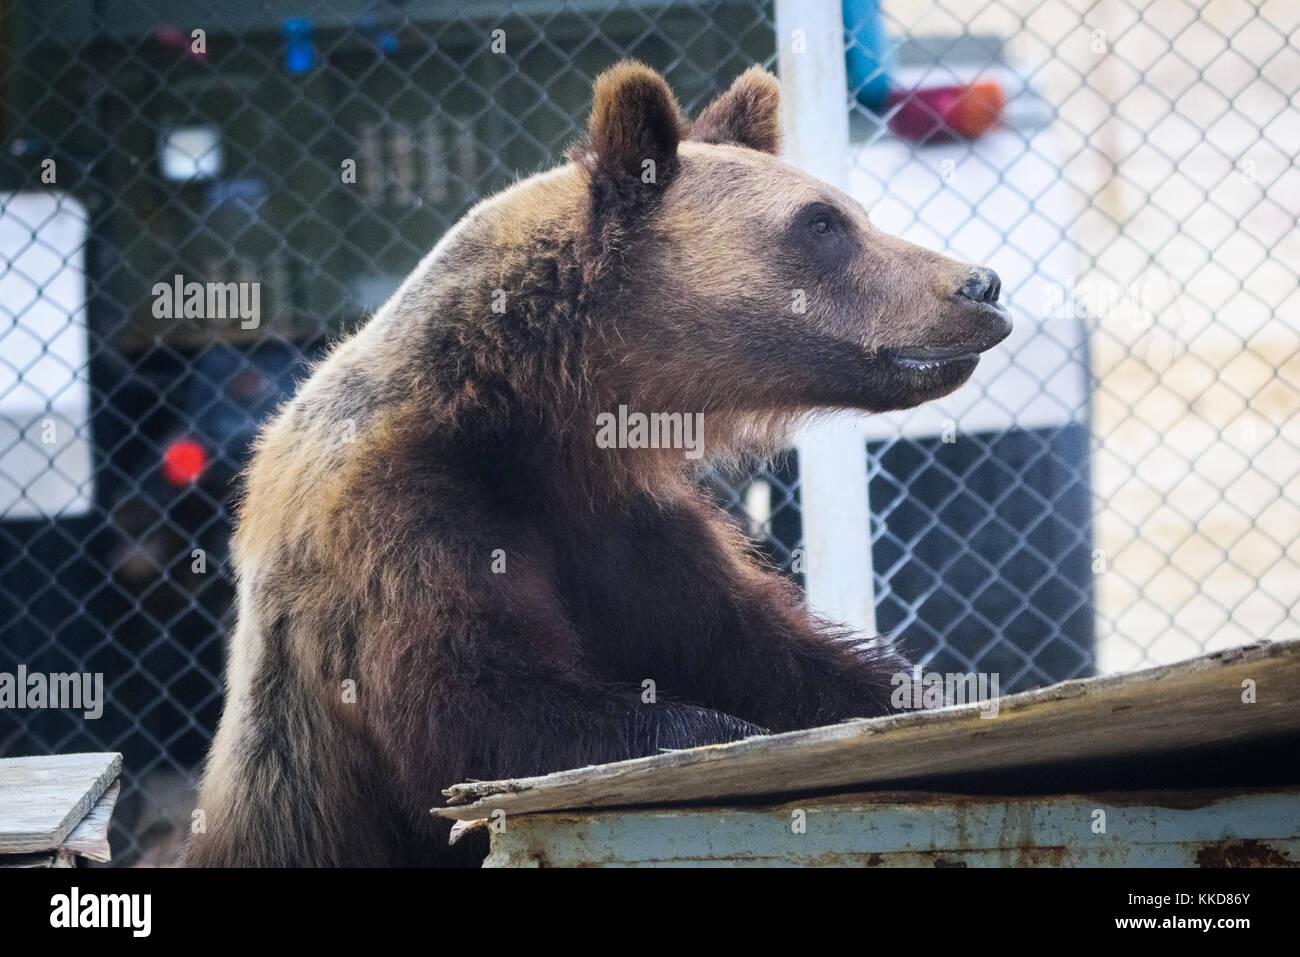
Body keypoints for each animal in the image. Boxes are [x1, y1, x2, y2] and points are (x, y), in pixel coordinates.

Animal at [185, 61, 1013, 868]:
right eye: (821, 222)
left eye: (850, 212)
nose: (981, 284)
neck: (538, 415)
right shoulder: (399, 510)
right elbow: (476, 697)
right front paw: (720, 730)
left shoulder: (625, 522)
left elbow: (761, 647)